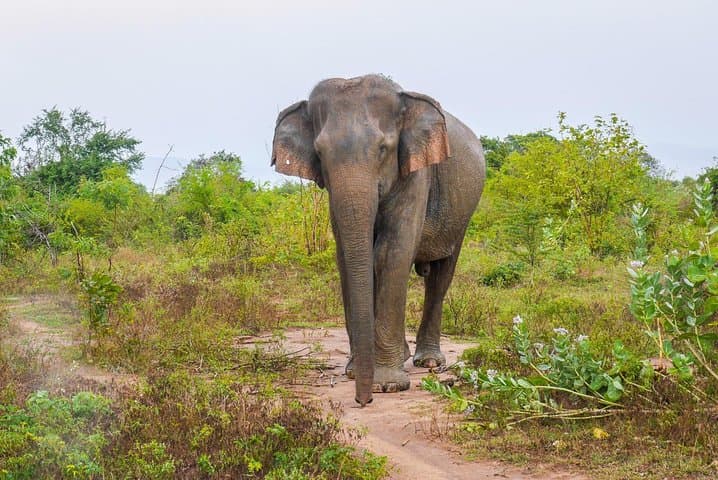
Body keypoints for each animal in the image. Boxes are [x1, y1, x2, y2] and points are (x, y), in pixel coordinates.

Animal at [271, 74, 485, 406]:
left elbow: (391, 252)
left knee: (441, 275)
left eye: (384, 148)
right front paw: (354, 371)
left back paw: (428, 361)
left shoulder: (416, 171)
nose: (363, 401)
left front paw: (388, 384)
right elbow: (348, 256)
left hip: (463, 213)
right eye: (319, 153)